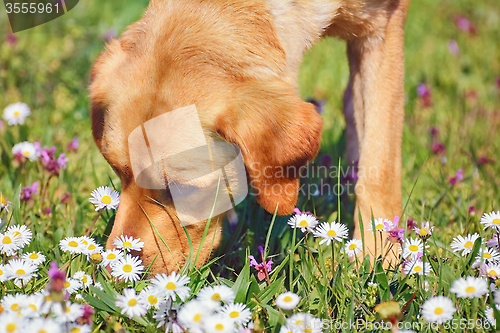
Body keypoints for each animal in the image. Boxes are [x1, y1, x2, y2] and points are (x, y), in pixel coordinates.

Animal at [92, 0, 408, 272]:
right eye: (117, 170)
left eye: (184, 191)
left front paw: (378, 258)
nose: (112, 273)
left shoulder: (383, 27)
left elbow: (379, 168)